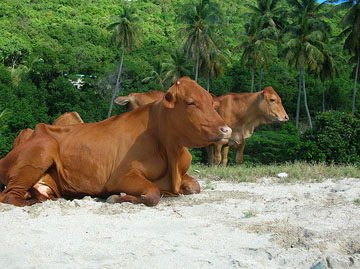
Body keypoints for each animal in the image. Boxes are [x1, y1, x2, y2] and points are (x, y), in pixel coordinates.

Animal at [0, 76, 231, 206]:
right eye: (191, 102)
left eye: (212, 103)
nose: (226, 129)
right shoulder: (120, 176)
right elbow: (153, 193)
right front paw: (118, 197)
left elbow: (194, 186)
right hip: (45, 145)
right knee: (9, 196)